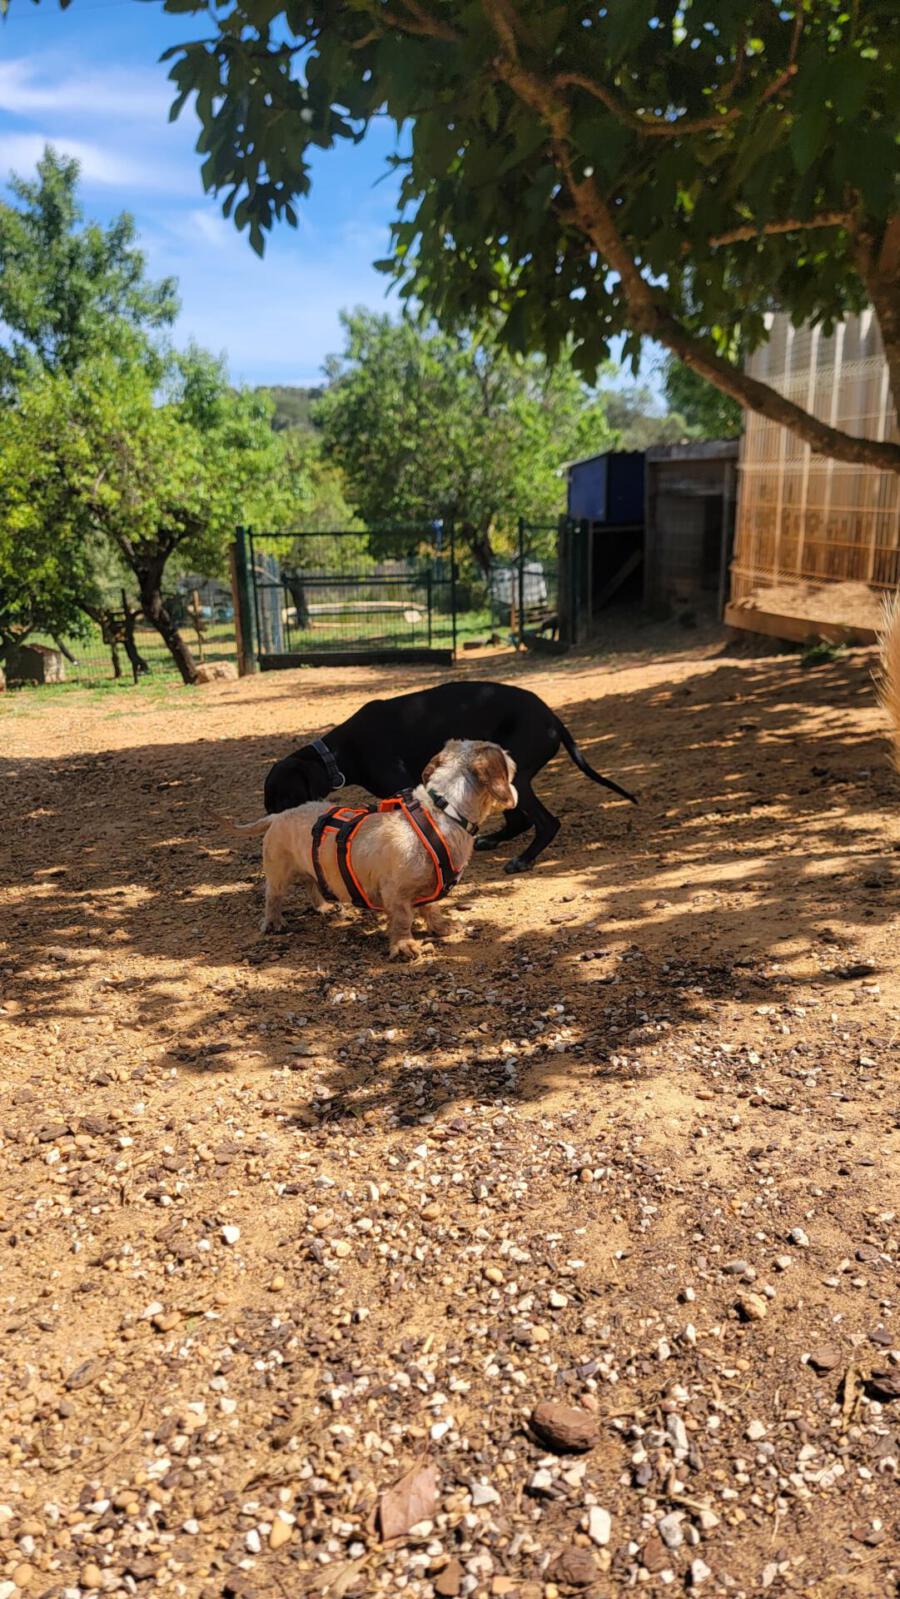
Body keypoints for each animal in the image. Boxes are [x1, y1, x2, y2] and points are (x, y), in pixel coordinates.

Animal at [226, 740, 517, 960]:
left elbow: (431, 908)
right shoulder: (395, 892)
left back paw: (322, 906)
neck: (443, 811)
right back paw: (273, 923)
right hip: (278, 872)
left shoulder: (430, 887)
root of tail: (278, 815)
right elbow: (402, 919)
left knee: (311, 883)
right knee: (273, 897)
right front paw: (404, 946)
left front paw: (442, 926)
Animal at [263, 680, 636, 873]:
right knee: (521, 820)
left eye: (288, 798)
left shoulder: (403, 787)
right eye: (269, 805)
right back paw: (494, 840)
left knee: (546, 822)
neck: (339, 753)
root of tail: (553, 718)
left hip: (514, 778)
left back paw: (524, 859)